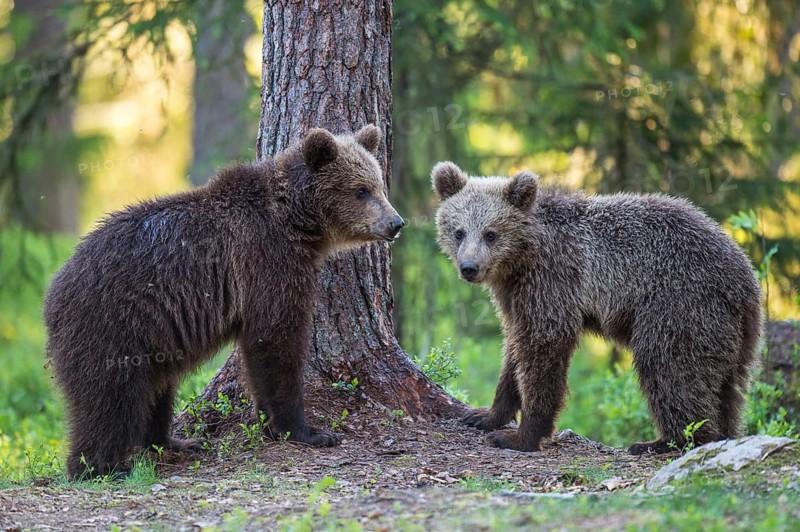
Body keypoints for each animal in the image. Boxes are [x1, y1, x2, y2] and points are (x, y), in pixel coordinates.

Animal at [44, 125, 405, 479]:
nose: (396, 223)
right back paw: (101, 466)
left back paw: (174, 442)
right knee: (110, 398)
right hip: (111, 324)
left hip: (153, 337)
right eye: (361, 190)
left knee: (156, 390)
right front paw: (310, 431)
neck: (295, 221)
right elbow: (277, 342)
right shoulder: (266, 262)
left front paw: (270, 424)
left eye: (379, 185)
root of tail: (54, 291)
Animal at [431, 161, 762, 454]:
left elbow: (543, 348)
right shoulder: (514, 297)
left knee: (670, 366)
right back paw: (723, 433)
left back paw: (664, 442)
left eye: (491, 233)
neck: (522, 257)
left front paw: (521, 436)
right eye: (459, 231)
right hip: (732, 334)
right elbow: (514, 349)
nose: (469, 267)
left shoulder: (553, 280)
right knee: (727, 388)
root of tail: (747, 279)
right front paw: (484, 415)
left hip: (679, 303)